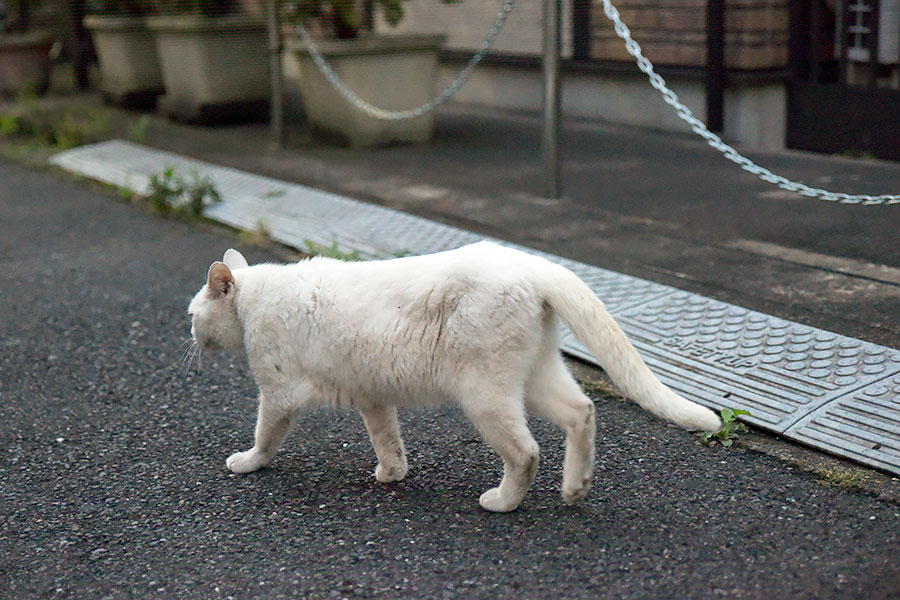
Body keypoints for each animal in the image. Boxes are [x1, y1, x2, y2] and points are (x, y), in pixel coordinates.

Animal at [190, 243, 724, 510]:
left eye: (193, 315)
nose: (189, 335)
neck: (255, 299)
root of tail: (532, 263)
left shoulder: (279, 391)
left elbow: (265, 435)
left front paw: (247, 463)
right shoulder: (372, 396)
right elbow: (387, 439)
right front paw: (392, 473)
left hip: (484, 393)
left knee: (527, 452)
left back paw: (503, 502)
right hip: (535, 376)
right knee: (582, 411)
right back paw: (576, 488)